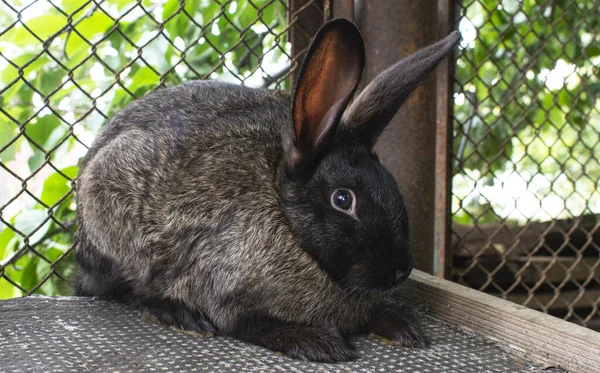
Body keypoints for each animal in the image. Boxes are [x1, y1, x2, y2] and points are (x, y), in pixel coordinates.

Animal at [75, 17, 460, 360]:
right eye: (343, 199)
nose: (400, 270)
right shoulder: (223, 291)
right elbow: (245, 323)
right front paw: (319, 344)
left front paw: (403, 327)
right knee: (131, 290)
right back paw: (180, 315)